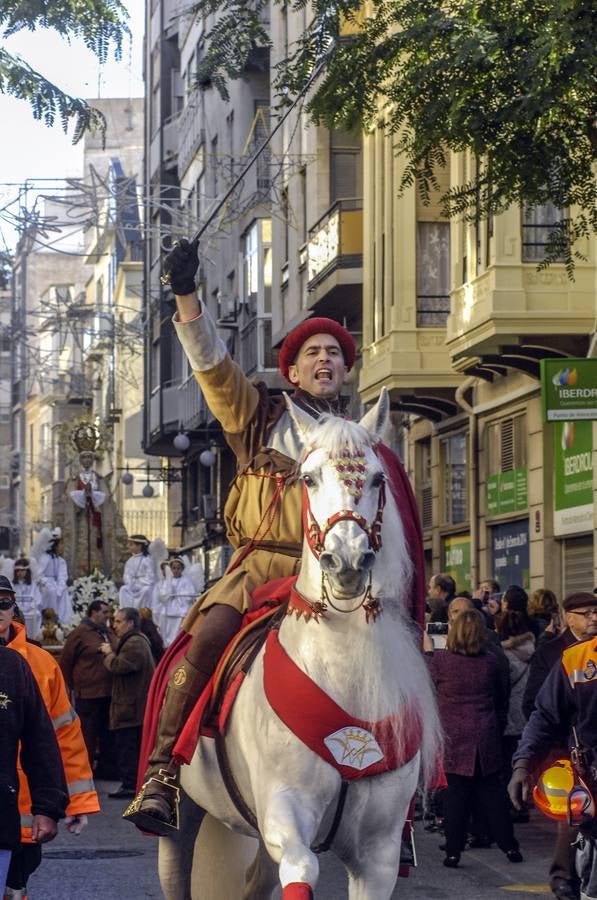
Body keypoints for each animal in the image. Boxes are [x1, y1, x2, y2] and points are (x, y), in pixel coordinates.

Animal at [157, 394, 438, 900]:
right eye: (308, 478)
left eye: (378, 478)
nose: (347, 561)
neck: (342, 669)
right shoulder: (285, 818)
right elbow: (303, 868)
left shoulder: (379, 854)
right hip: (181, 825)